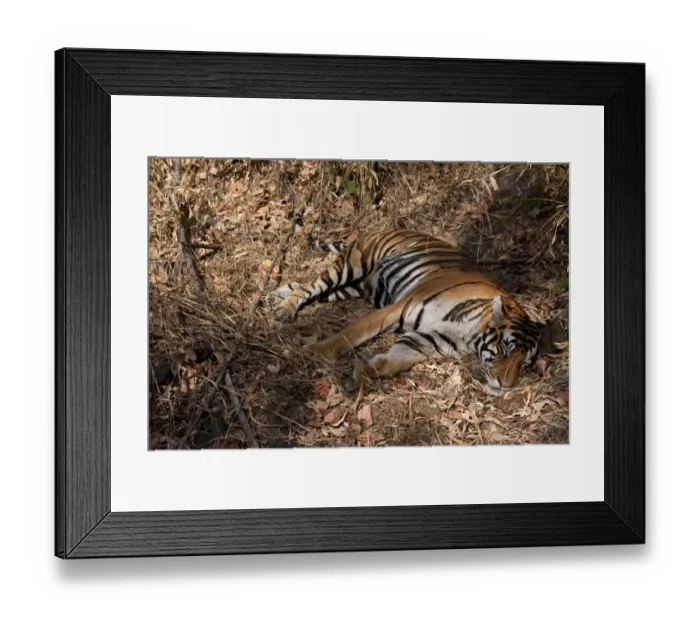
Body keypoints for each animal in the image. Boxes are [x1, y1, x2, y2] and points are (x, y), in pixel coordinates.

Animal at [272, 228, 543, 396]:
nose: (506, 386)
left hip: (355, 287)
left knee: (313, 289)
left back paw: (280, 292)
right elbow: (348, 335)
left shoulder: (425, 340)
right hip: (353, 266)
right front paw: (314, 352)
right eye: (505, 348)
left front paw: (363, 372)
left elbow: (393, 362)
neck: (468, 332)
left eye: (525, 364)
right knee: (312, 286)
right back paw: (284, 310)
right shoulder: (395, 309)